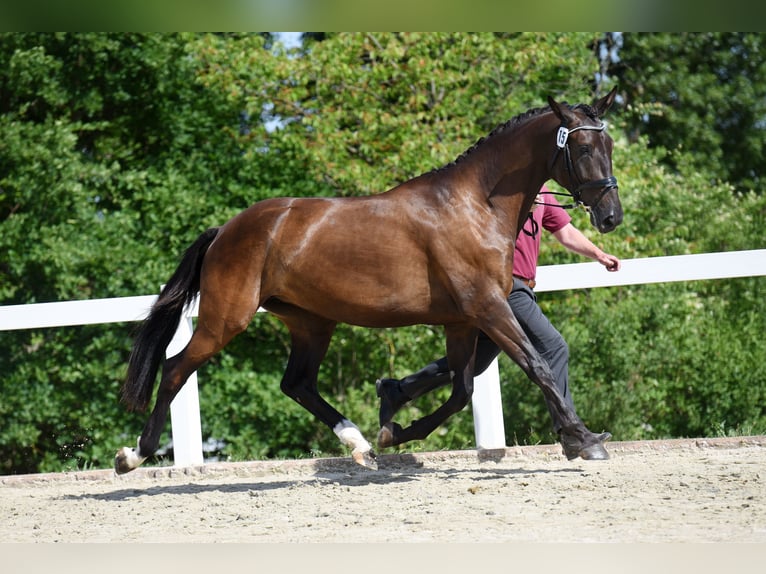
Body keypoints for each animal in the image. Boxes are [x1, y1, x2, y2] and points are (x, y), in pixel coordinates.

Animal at [117, 88, 628, 474]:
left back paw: (360, 445)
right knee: (176, 368)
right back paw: (133, 455)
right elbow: (537, 366)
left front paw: (394, 430)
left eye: (610, 149)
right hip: (227, 319)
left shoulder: (463, 320)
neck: (474, 205)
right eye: (583, 149)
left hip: (311, 322)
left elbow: (462, 389)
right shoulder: (488, 308)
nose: (610, 216)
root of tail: (226, 229)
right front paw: (584, 439)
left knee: (297, 384)